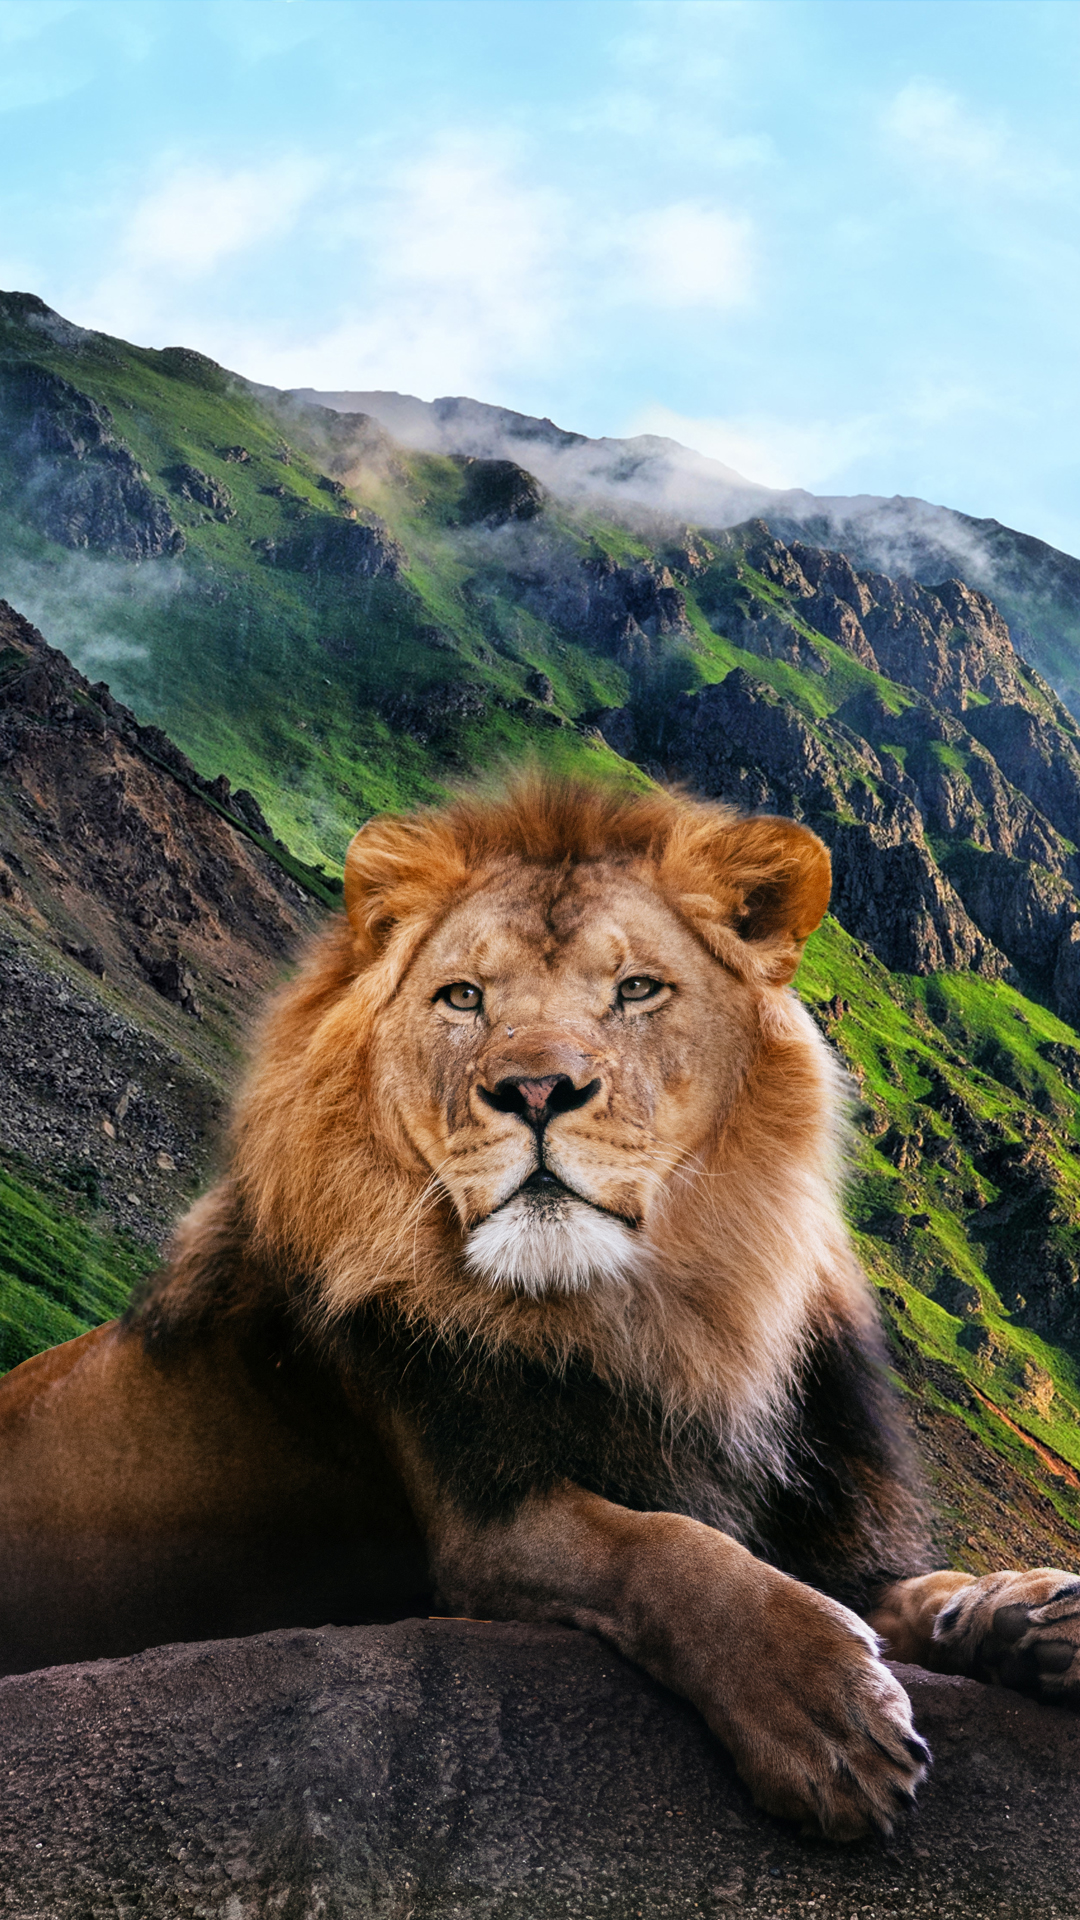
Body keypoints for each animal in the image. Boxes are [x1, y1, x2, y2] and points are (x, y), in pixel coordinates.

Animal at [1, 776, 1078, 1840]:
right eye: (463, 997)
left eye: (637, 988)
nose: (534, 1089)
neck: (663, 1323)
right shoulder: (482, 1528)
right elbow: (664, 1544)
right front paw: (825, 1712)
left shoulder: (836, 1535)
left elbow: (924, 1590)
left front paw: (1031, 1612)